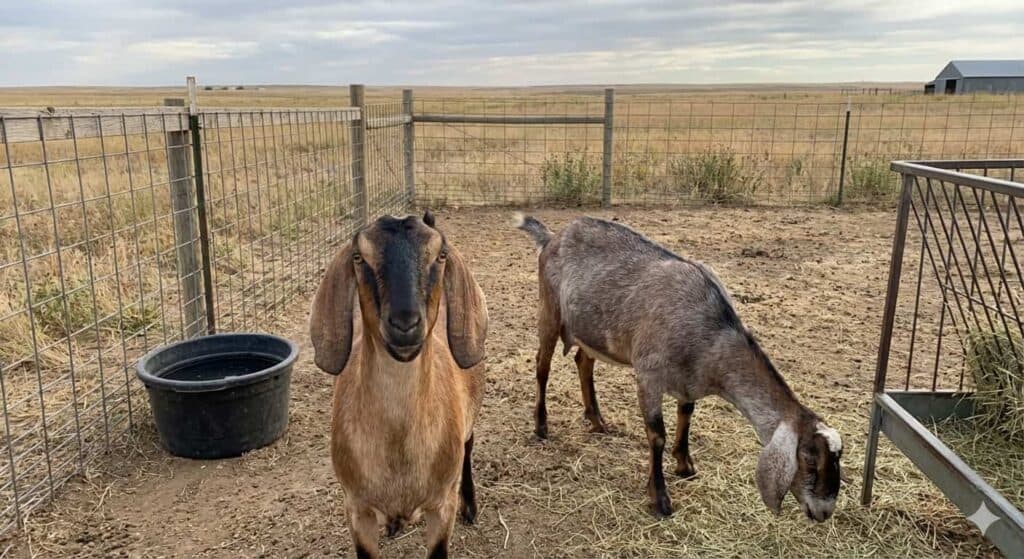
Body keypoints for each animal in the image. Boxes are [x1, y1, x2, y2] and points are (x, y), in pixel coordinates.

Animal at [311, 211, 487, 558]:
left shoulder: (441, 506)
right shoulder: (357, 509)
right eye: (359, 257)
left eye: (440, 255)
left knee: (470, 446)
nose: (405, 323)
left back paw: (471, 507)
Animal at [514, 213, 842, 521]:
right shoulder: (648, 375)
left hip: (592, 330)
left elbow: (686, 416)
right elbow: (657, 434)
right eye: (809, 460)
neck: (710, 335)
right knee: (542, 366)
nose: (824, 511)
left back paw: (597, 421)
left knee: (583, 361)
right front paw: (659, 499)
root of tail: (552, 237)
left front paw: (685, 465)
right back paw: (541, 426)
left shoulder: (688, 381)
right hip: (549, 310)